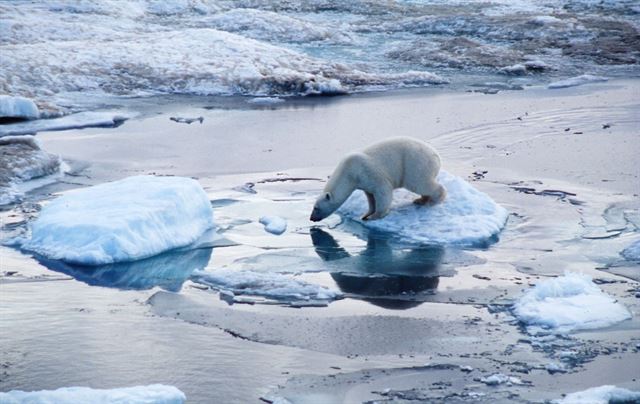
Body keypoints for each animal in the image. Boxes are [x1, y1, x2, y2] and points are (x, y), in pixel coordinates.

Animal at [310, 138, 444, 221]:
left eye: (316, 208)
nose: (311, 218)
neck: (349, 172)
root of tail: (436, 155)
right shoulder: (363, 181)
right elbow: (370, 197)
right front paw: (365, 214)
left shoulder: (368, 171)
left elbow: (382, 191)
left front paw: (375, 216)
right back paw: (420, 200)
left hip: (415, 163)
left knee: (419, 183)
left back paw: (434, 201)